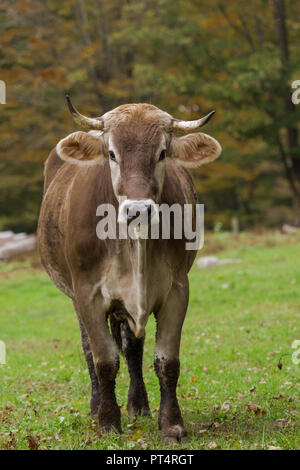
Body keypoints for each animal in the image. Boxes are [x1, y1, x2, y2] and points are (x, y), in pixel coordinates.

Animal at [37, 96, 220, 444]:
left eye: (162, 152)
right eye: (112, 153)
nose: (138, 210)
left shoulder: (177, 290)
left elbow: (166, 361)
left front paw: (172, 424)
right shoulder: (88, 294)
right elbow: (104, 360)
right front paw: (108, 422)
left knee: (133, 349)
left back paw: (139, 405)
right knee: (91, 350)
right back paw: (97, 406)